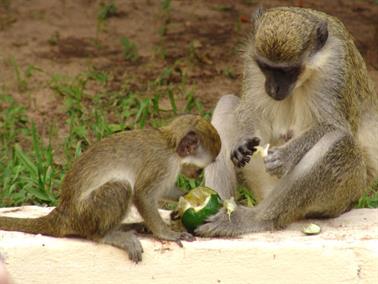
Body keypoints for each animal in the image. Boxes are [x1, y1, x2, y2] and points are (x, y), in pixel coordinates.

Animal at [0, 114, 221, 262]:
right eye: (202, 168)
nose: (197, 175)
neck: (170, 145)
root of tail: (63, 213)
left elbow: (162, 191)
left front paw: (188, 199)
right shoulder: (163, 163)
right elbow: (143, 195)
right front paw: (166, 234)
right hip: (86, 213)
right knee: (121, 187)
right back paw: (106, 235)